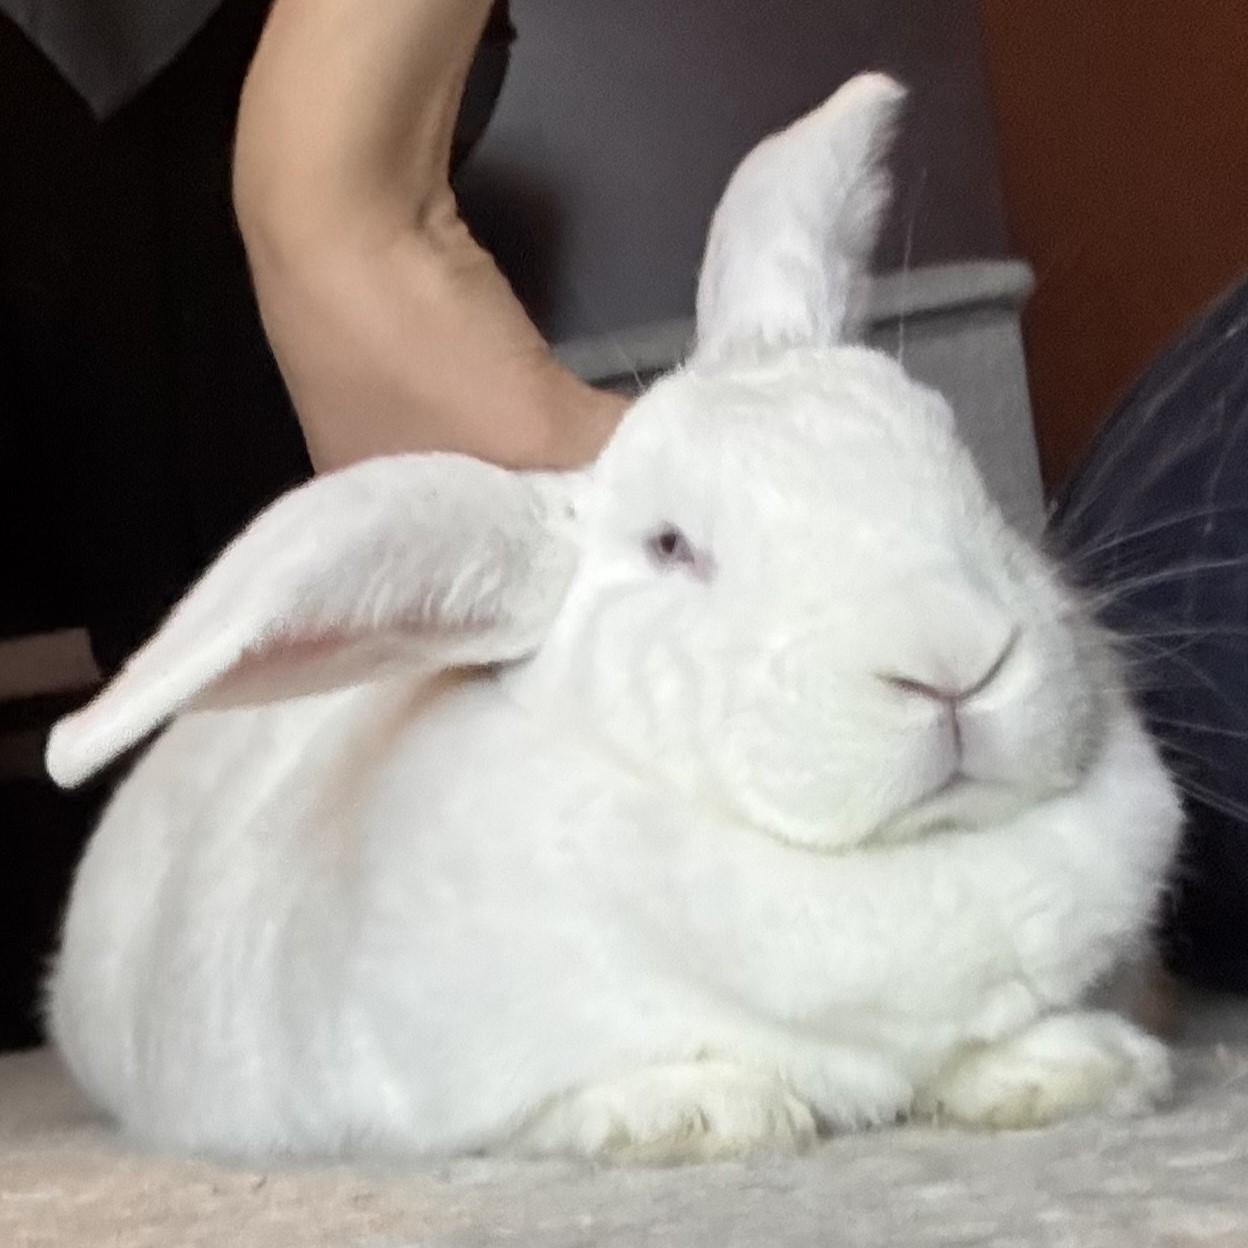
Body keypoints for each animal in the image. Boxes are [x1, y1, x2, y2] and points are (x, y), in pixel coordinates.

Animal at [44, 73, 1182, 1164]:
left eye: (953, 449)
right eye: (671, 546)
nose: (954, 656)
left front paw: (1082, 1066)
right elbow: (571, 1099)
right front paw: (710, 1113)